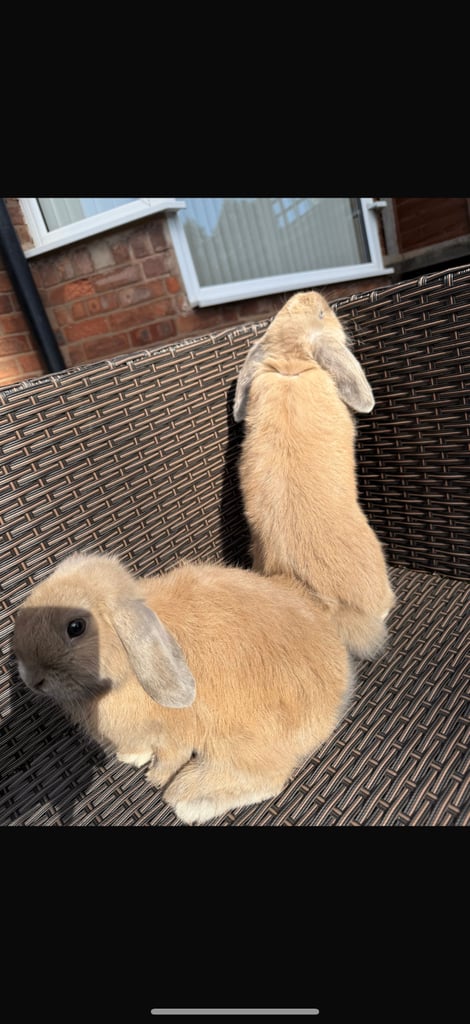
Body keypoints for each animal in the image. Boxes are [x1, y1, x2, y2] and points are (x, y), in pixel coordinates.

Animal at [14, 551, 353, 826]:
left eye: (76, 627)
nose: (31, 678)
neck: (127, 669)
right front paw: (131, 757)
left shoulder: (177, 733)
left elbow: (170, 756)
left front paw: (155, 778)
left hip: (240, 738)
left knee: (265, 778)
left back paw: (187, 798)